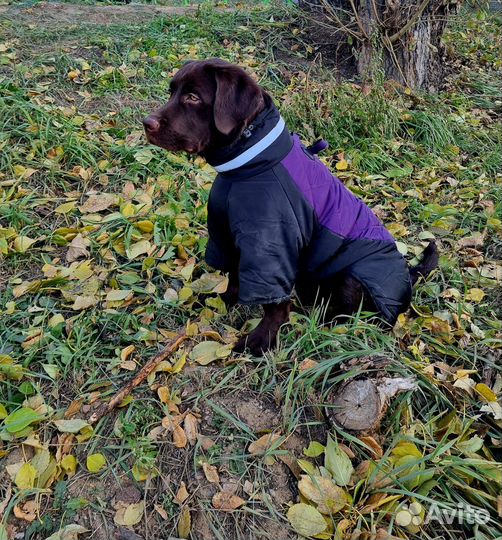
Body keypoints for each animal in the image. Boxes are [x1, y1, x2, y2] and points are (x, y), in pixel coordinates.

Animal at [143, 59, 438, 356]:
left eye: (193, 97)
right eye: (172, 92)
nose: (147, 123)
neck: (246, 166)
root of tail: (408, 276)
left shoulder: (270, 245)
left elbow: (274, 304)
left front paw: (260, 342)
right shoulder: (228, 234)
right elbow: (235, 277)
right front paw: (224, 302)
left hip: (352, 276)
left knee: (354, 315)